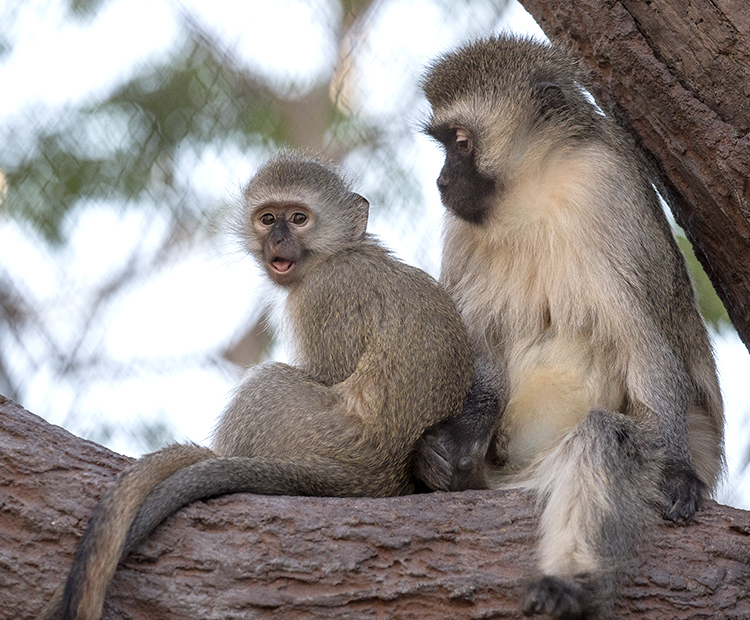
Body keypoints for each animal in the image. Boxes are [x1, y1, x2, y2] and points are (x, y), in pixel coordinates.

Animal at [38, 151, 472, 620]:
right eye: (268, 218)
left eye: (298, 218)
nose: (278, 240)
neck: (339, 252)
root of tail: (381, 476)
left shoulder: (324, 295)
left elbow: (327, 373)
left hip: (318, 432)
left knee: (268, 381)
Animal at [418, 35, 728, 620]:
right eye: (443, 145)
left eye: (462, 142)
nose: (442, 180)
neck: (534, 194)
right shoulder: (463, 224)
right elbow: (476, 336)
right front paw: (462, 433)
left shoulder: (606, 187)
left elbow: (643, 342)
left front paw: (677, 471)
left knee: (605, 438)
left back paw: (567, 582)